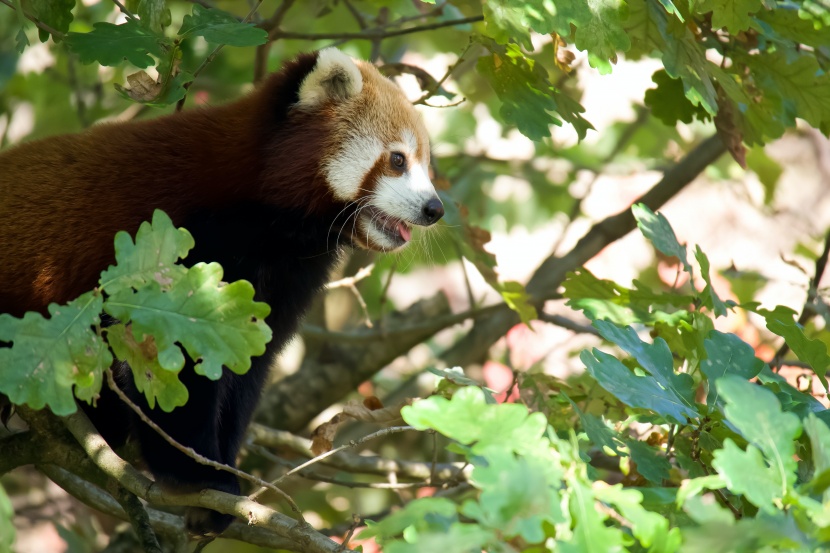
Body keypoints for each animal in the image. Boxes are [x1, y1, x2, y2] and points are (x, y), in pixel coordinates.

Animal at [0, 48, 442, 536]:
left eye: (426, 165)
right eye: (398, 160)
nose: (435, 208)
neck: (268, 213)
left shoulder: (284, 278)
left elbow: (245, 364)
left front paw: (224, 475)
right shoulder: (182, 241)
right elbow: (164, 359)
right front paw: (195, 475)